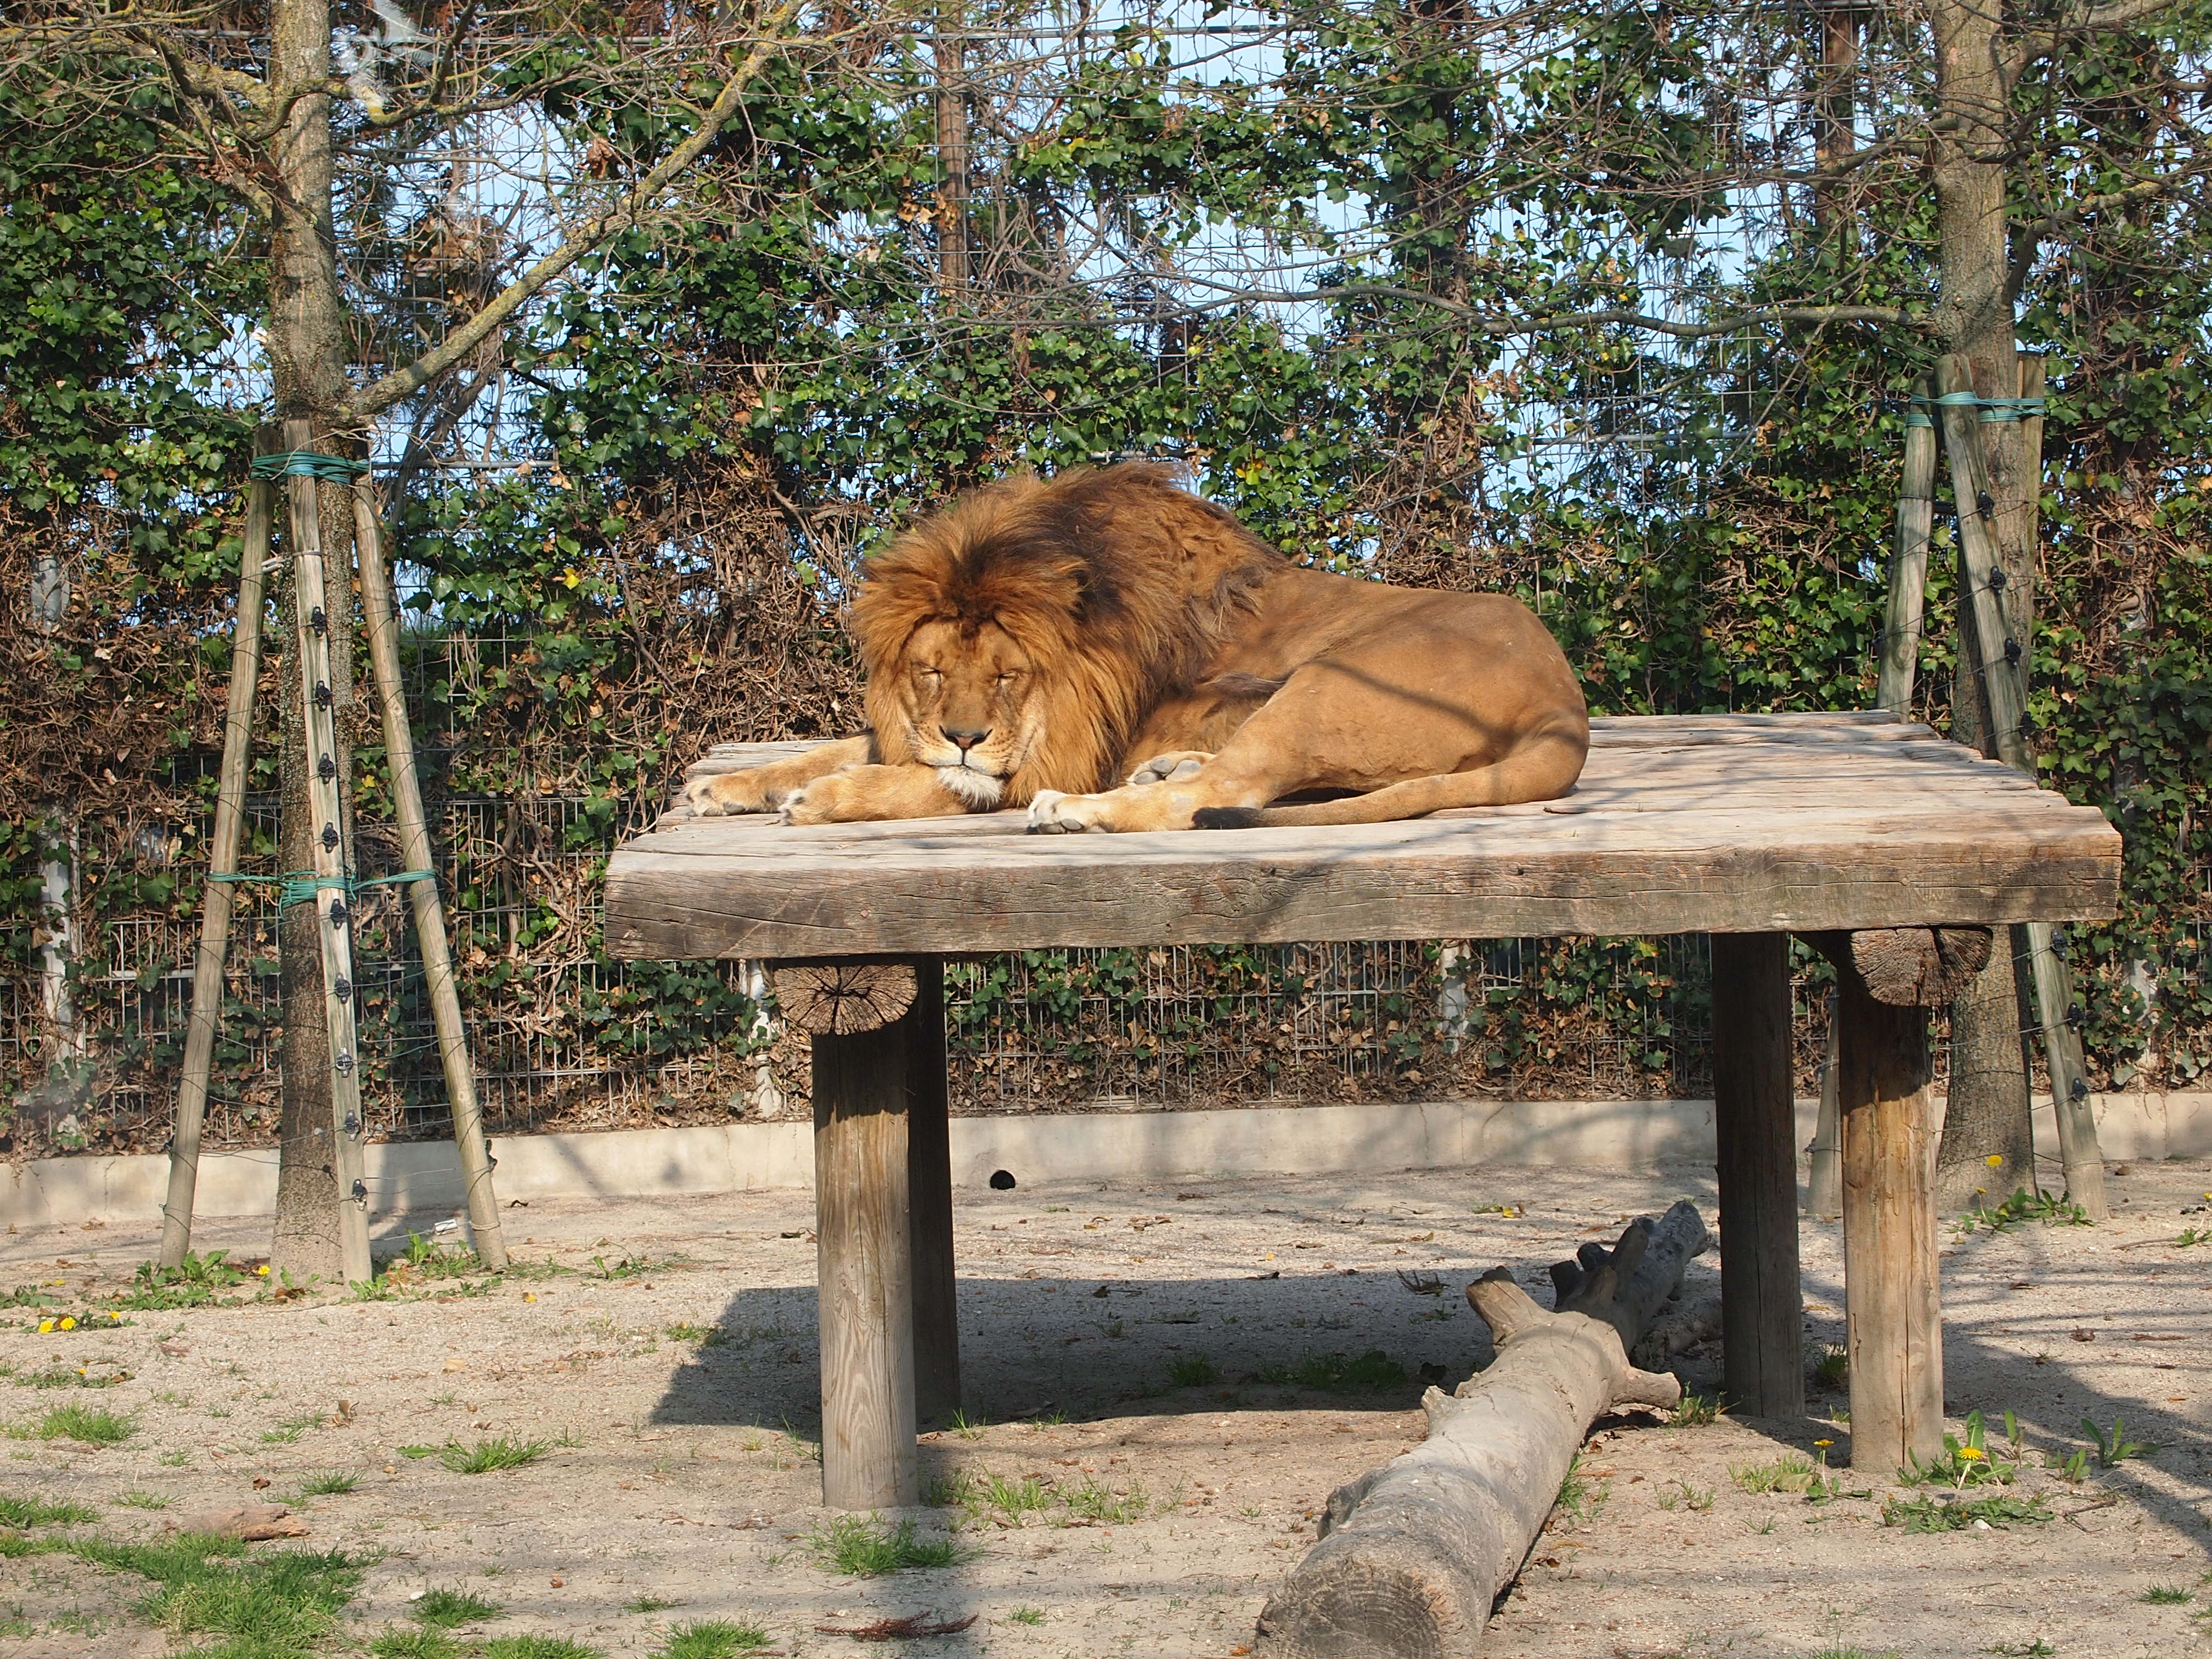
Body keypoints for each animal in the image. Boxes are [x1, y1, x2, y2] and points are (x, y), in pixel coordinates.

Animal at [681, 464, 1583, 832]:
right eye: (931, 671)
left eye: (1009, 676)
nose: (963, 737)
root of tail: (1563, 700)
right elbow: (833, 749)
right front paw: (724, 787)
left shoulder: (1059, 753)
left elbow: (924, 784)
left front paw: (826, 798)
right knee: (1233, 782)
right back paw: (1166, 767)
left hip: (1331, 682)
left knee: (1216, 795)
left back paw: (1080, 813)